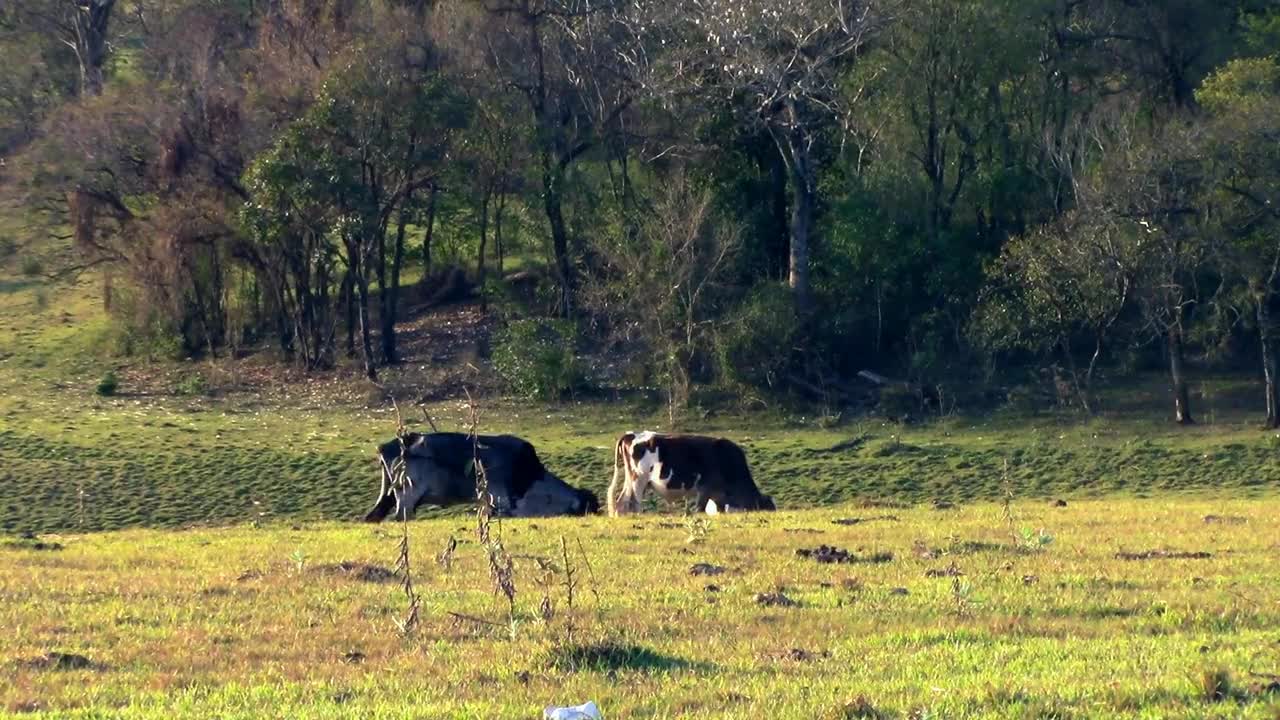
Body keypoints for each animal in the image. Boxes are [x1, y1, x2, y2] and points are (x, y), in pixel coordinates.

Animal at [606, 427, 773, 512]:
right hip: (638, 479)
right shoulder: (704, 489)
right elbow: (699, 509)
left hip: (631, 481)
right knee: (634, 503)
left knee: (622, 502)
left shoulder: (717, 496)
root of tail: (631, 434)